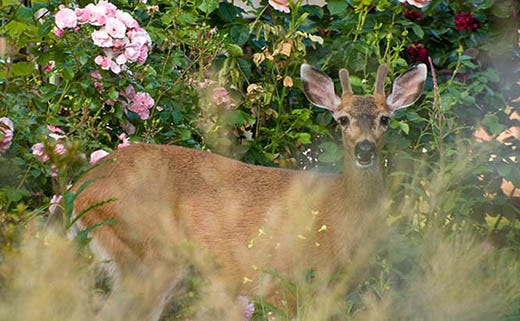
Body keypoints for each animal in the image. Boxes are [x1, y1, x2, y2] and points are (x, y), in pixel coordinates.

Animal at [70, 62, 426, 320]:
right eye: (342, 119)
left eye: (385, 119)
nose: (365, 150)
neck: (340, 211)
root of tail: (79, 189)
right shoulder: (281, 281)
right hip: (149, 252)